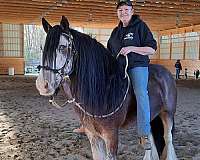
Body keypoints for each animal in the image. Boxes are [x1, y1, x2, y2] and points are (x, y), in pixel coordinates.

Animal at [35, 16, 177, 160]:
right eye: (43, 48)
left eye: (62, 47)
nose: (42, 85)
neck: (103, 89)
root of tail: (165, 73)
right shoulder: (93, 135)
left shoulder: (111, 135)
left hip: (168, 114)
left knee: (168, 139)